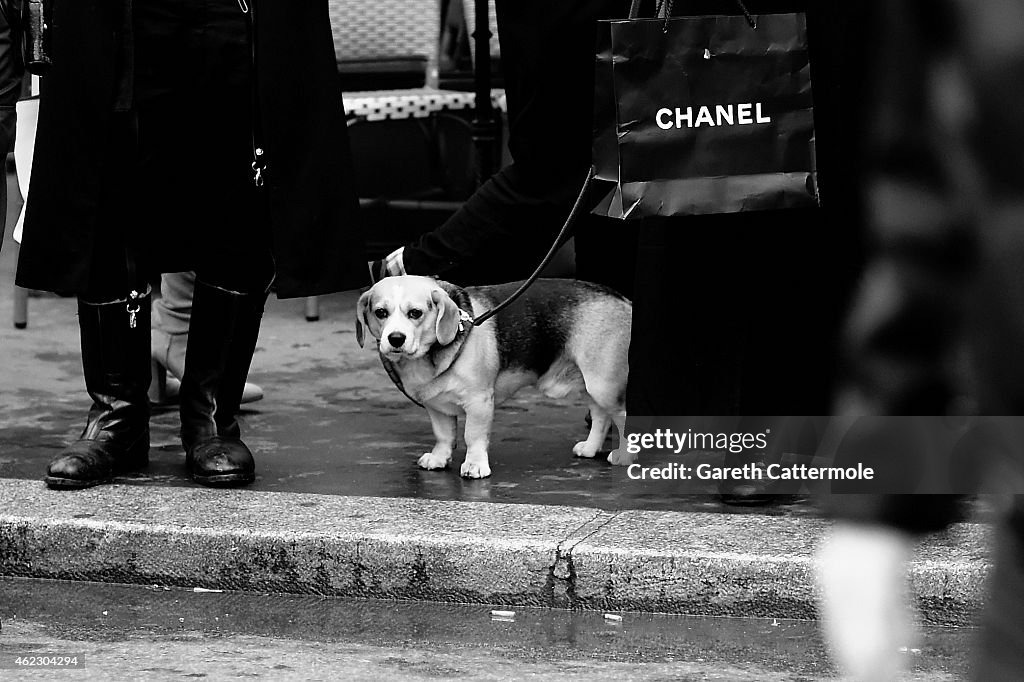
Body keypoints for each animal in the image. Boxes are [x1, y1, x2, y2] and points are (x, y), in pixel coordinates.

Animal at [358, 274, 630, 475]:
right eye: (381, 313)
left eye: (415, 313)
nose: (395, 338)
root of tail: (622, 300)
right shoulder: (436, 406)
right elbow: (444, 435)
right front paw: (439, 458)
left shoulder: (479, 402)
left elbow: (473, 435)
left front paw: (475, 465)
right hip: (591, 385)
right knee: (601, 416)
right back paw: (591, 448)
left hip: (603, 384)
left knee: (621, 416)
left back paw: (625, 455)